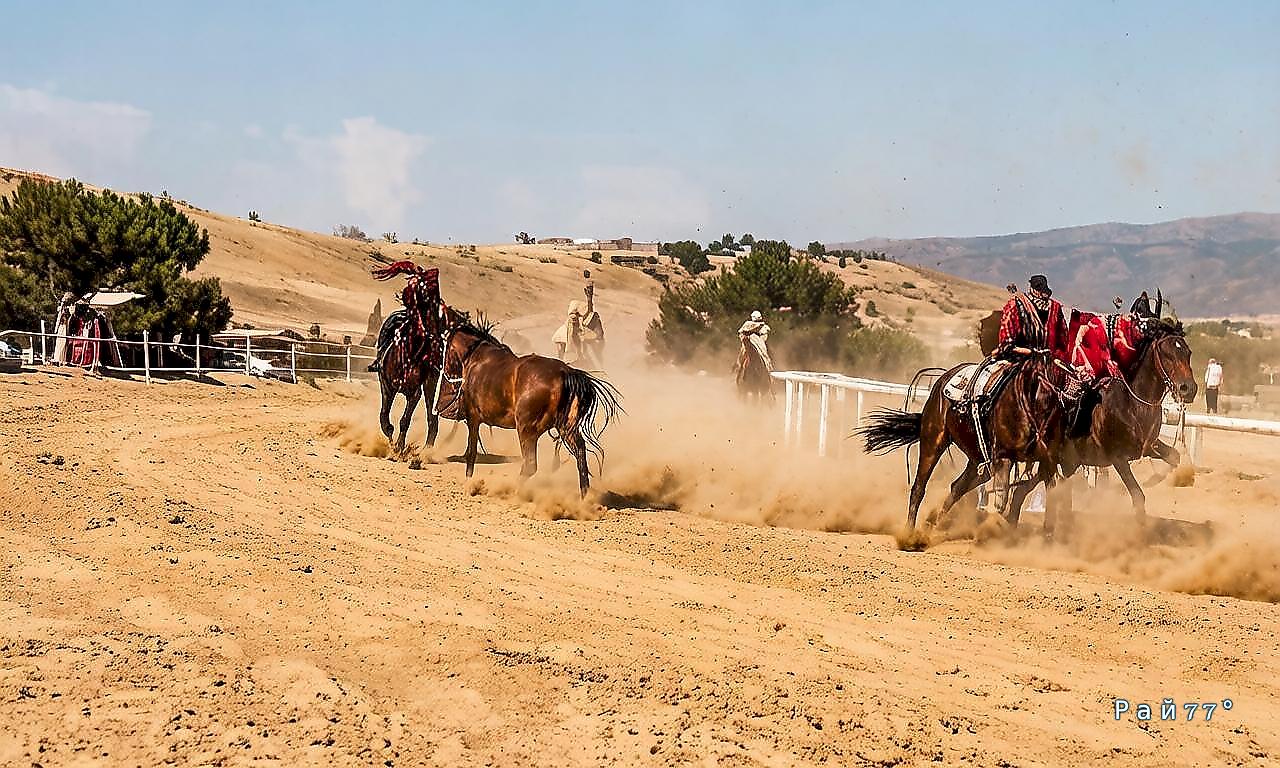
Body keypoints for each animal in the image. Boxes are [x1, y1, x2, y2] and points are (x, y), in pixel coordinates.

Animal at [434, 309, 622, 496]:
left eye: (444, 348)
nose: (444, 370)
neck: (478, 359)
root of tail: (566, 372)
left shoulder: (473, 418)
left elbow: (471, 452)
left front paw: (468, 483)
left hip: (526, 429)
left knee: (531, 464)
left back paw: (514, 491)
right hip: (565, 428)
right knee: (581, 455)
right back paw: (585, 497)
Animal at [859, 352, 1069, 533]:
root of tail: (943, 379)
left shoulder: (1048, 462)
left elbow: (1051, 493)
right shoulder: (1004, 458)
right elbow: (1002, 500)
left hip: (978, 461)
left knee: (957, 487)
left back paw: (929, 526)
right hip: (933, 440)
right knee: (919, 487)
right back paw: (909, 535)